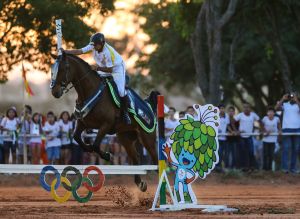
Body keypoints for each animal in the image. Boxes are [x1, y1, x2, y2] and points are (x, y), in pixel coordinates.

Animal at [50, 51, 158, 192]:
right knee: (136, 158)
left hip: (147, 138)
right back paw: (140, 183)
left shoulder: (106, 125)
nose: (55, 92)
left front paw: (107, 155)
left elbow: (96, 145)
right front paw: (89, 148)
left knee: (156, 160)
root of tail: (149, 106)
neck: (90, 92)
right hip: (125, 138)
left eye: (63, 69)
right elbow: (77, 137)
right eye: (52, 70)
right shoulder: (83, 123)